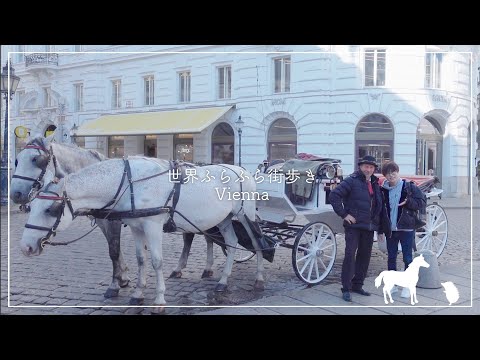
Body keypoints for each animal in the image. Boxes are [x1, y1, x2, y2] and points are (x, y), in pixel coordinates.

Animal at [18, 157, 264, 312]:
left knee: (257, 241)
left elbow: (156, 261)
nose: (26, 247)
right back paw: (222, 281)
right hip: (223, 219)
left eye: (51, 210)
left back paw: (259, 279)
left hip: (246, 215)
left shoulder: (152, 225)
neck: (129, 184)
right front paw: (137, 293)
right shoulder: (136, 226)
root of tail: (243, 170)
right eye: (31, 207)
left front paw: (159, 299)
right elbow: (141, 259)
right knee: (231, 242)